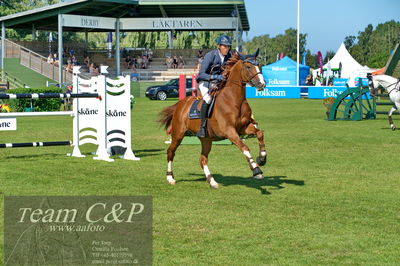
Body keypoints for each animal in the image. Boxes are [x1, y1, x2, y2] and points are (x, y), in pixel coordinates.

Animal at [159, 51, 266, 188]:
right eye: (248, 67)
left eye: (259, 65)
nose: (262, 84)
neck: (234, 99)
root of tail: (181, 104)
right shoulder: (230, 131)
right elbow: (245, 148)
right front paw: (256, 170)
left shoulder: (244, 127)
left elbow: (259, 133)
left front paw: (262, 159)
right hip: (178, 134)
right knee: (170, 152)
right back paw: (170, 178)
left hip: (206, 139)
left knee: (202, 159)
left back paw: (212, 181)